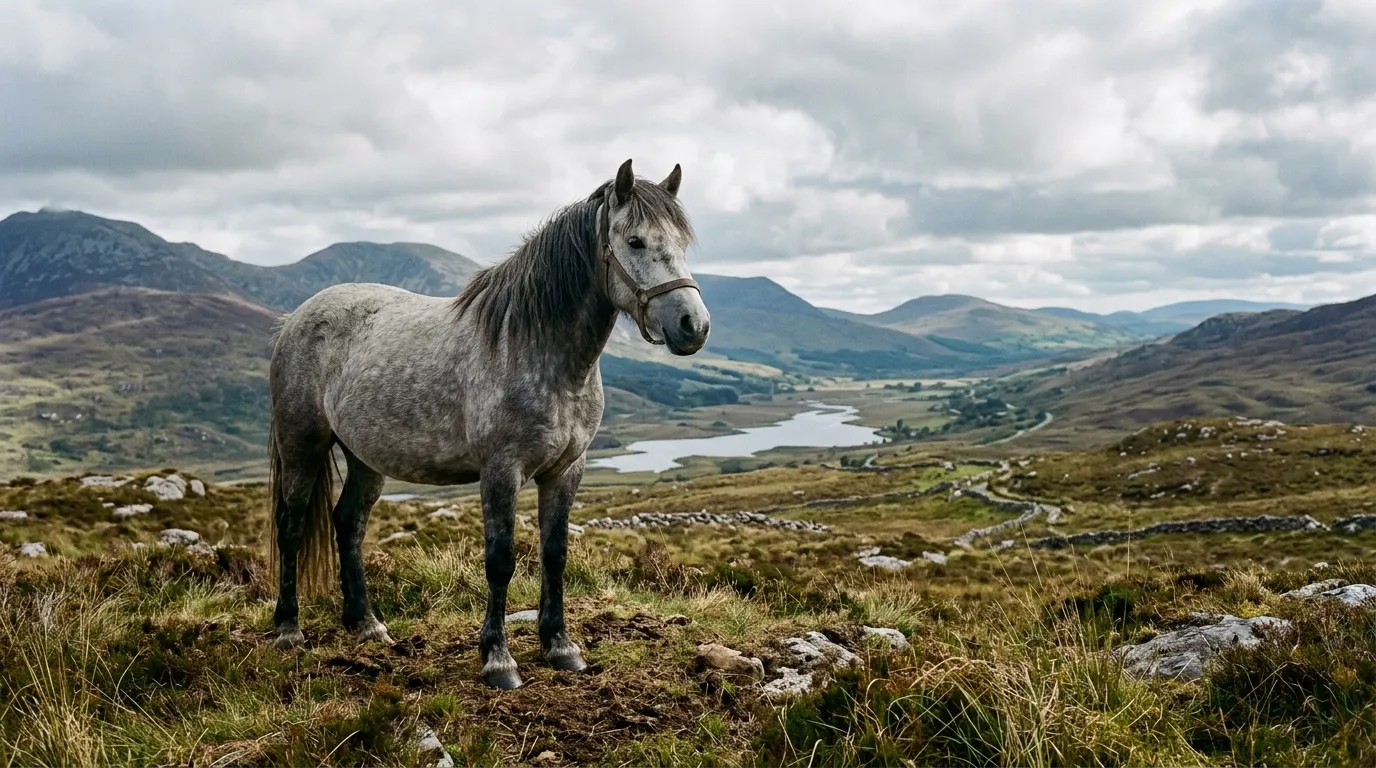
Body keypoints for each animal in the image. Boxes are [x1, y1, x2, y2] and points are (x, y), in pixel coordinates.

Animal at [265, 159, 710, 689]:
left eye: (681, 242)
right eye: (636, 242)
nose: (694, 326)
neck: (535, 348)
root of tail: (297, 318)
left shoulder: (566, 471)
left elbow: (555, 554)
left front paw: (560, 646)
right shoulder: (501, 471)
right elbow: (500, 561)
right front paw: (498, 659)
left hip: (364, 457)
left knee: (348, 522)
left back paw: (367, 624)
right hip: (302, 444)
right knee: (291, 524)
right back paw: (288, 627)